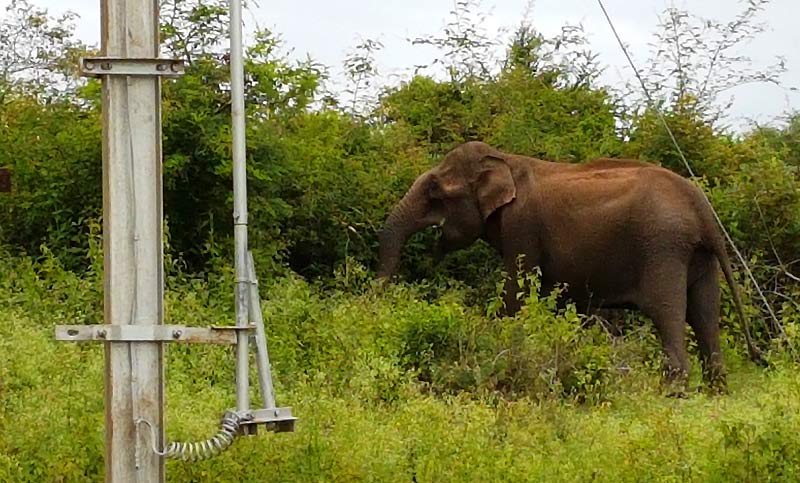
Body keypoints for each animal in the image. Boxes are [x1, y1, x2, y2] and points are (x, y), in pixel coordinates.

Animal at [378, 140, 760, 394]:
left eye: (435, 192)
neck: (504, 160)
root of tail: (702, 207)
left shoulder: (522, 226)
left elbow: (517, 293)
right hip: (698, 255)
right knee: (704, 312)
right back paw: (716, 391)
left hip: (663, 247)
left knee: (666, 311)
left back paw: (673, 393)